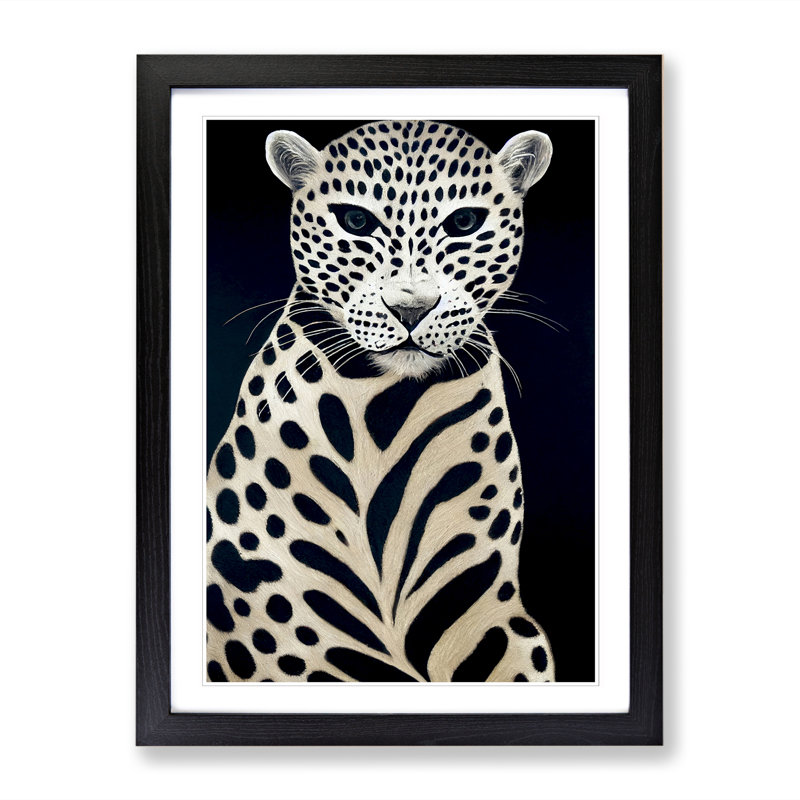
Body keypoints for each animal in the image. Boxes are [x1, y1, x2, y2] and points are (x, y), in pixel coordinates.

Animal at [205, 120, 556, 683]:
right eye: (356, 221)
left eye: (464, 222)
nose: (411, 308)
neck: (382, 410)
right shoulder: (283, 623)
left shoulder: (481, 602)